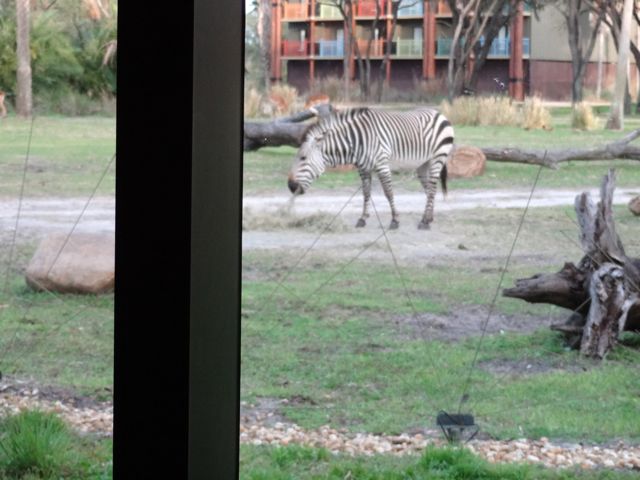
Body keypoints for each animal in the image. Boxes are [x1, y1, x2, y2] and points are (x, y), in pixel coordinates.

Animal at [288, 107, 458, 231]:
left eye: (303, 158)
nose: (291, 186)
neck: (356, 141)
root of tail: (439, 113)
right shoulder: (363, 168)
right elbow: (366, 193)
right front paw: (362, 219)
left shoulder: (382, 164)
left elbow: (388, 192)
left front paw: (395, 220)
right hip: (423, 164)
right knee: (429, 189)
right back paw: (428, 218)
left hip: (437, 157)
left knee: (432, 188)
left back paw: (424, 222)